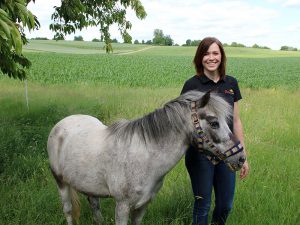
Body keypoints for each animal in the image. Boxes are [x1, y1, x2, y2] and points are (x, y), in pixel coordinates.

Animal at [46, 90, 244, 224]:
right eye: (214, 123)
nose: (241, 158)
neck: (146, 157)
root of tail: (61, 124)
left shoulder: (143, 205)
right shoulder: (122, 206)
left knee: (95, 208)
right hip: (60, 182)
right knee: (68, 210)